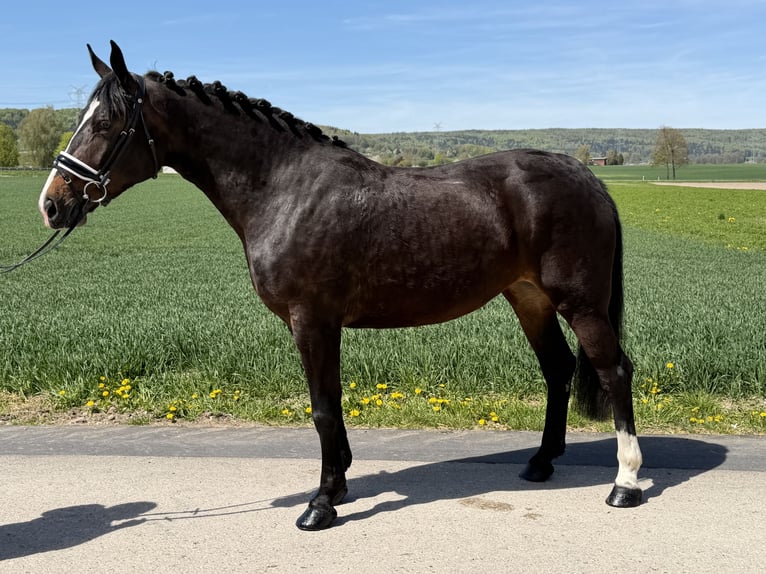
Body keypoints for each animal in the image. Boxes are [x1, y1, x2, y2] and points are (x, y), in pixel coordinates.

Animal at [39, 41, 643, 530]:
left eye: (105, 124)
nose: (51, 204)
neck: (286, 189)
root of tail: (588, 176)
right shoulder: (317, 325)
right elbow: (331, 405)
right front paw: (341, 485)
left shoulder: (312, 320)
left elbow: (323, 409)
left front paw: (321, 503)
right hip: (529, 299)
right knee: (558, 369)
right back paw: (541, 463)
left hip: (580, 303)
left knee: (614, 371)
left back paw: (625, 484)